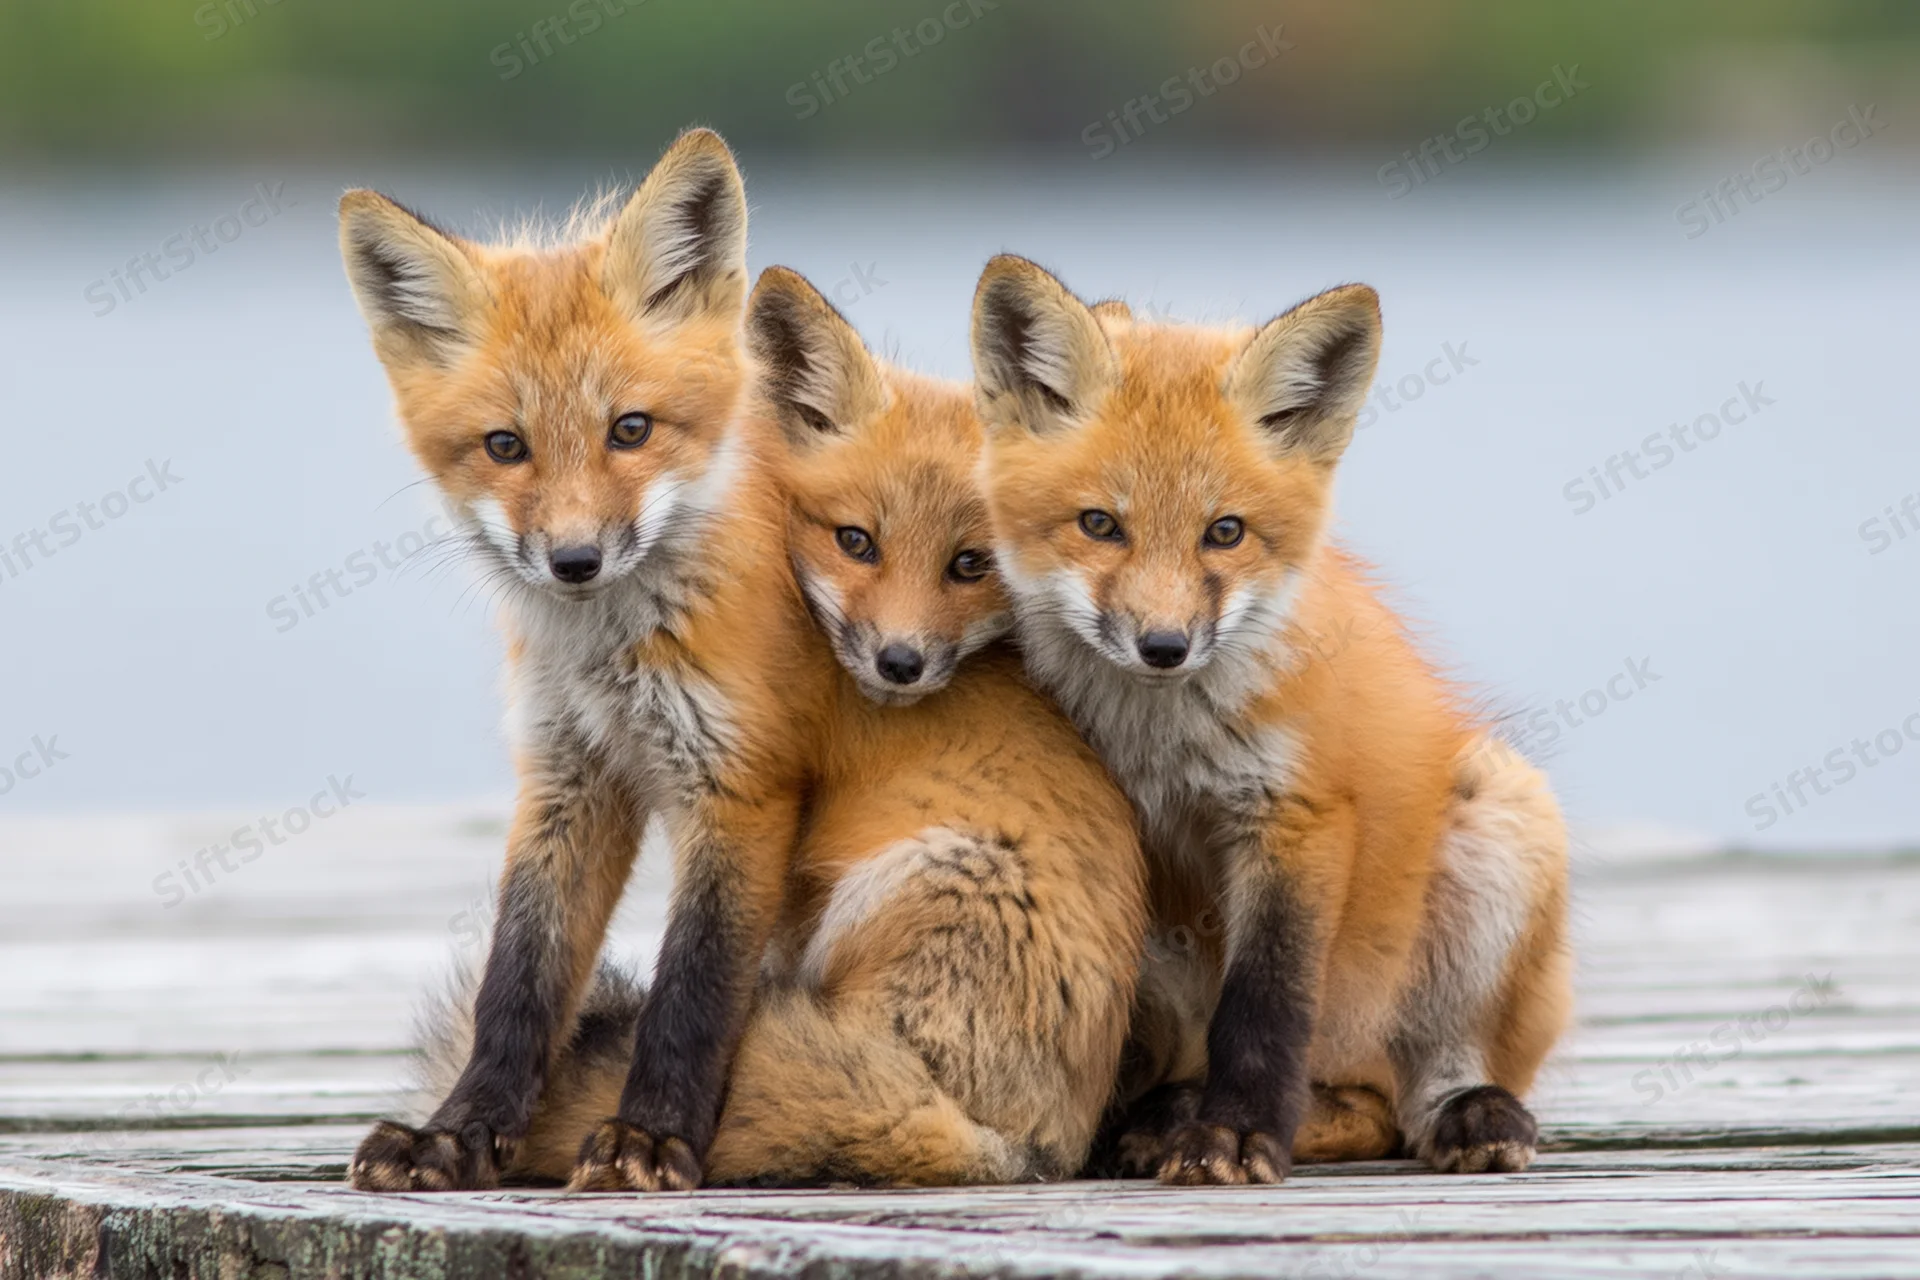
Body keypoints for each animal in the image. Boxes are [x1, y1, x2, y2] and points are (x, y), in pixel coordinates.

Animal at [335, 131, 1145, 1191]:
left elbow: (692, 993)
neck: (609, 656)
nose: (575, 560)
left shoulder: (742, 789)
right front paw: (461, 1132)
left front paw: (649, 1139)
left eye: (630, 430)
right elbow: (518, 981)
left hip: (912, 878)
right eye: (504, 446)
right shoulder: (567, 778)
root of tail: (1040, 1146)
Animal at [968, 256, 1573, 1184]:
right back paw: (1162, 1118)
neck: (1161, 743)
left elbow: (1263, 1007)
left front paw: (1238, 1134)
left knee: (1406, 1095)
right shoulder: (1114, 829)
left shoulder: (1296, 816)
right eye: (1100, 525)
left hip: (1500, 821)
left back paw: (1469, 1111)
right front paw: (1190, 1128)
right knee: (1348, 1104)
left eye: (1225, 532)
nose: (1165, 646)